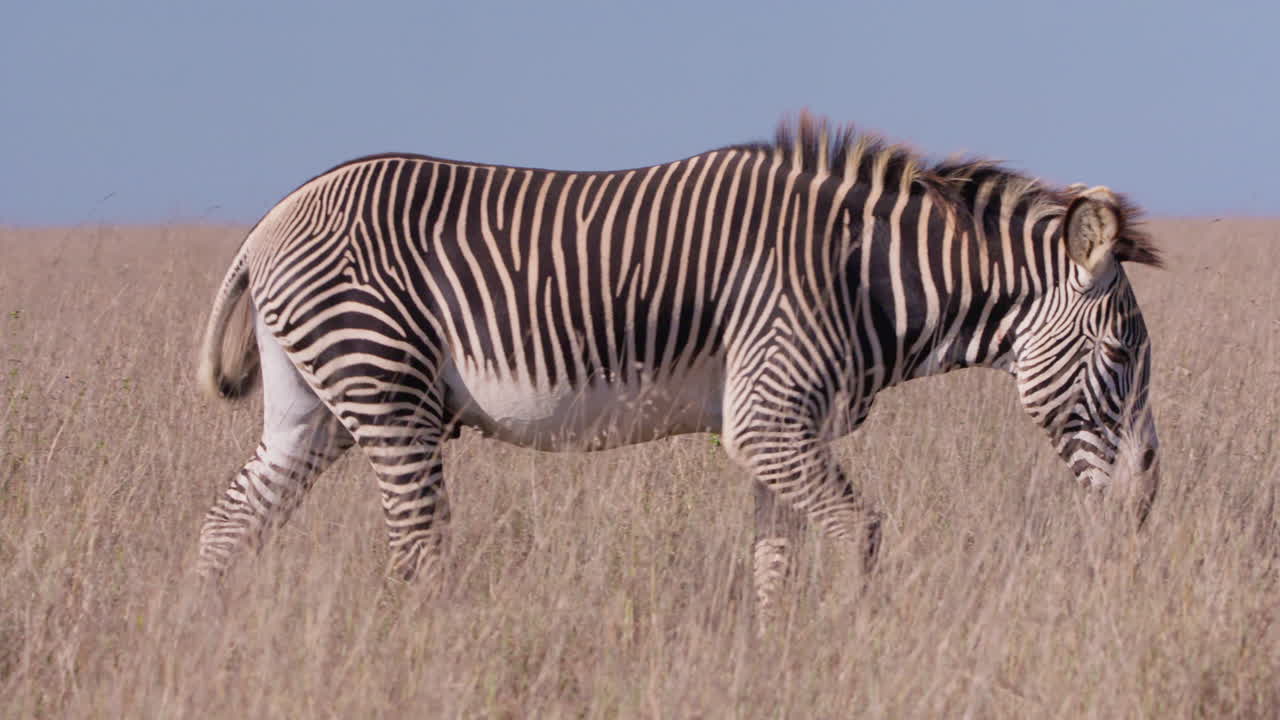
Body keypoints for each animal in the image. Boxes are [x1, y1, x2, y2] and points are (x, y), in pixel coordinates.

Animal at [195, 113, 1162, 625]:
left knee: (228, 523)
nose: (1146, 502)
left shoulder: (782, 427)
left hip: (315, 410)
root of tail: (268, 222)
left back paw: (210, 639)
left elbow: (777, 557)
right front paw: (859, 639)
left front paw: (778, 660)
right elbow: (860, 533)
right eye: (1121, 354)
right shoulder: (769, 415)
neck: (861, 276)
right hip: (385, 392)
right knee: (417, 553)